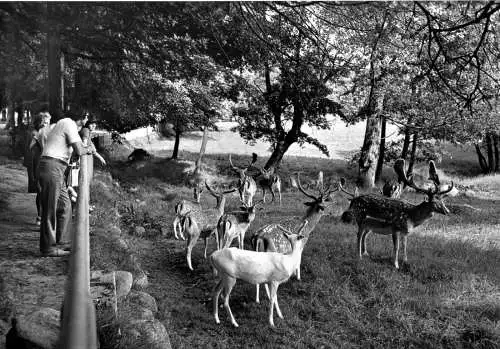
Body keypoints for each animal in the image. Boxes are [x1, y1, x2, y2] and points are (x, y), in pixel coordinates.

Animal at [250, 172, 340, 302]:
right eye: (324, 205)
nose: (331, 211)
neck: (308, 227)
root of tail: (257, 238)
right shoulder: (302, 243)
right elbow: (299, 260)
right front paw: (298, 277)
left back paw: (257, 299)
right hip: (270, 253)